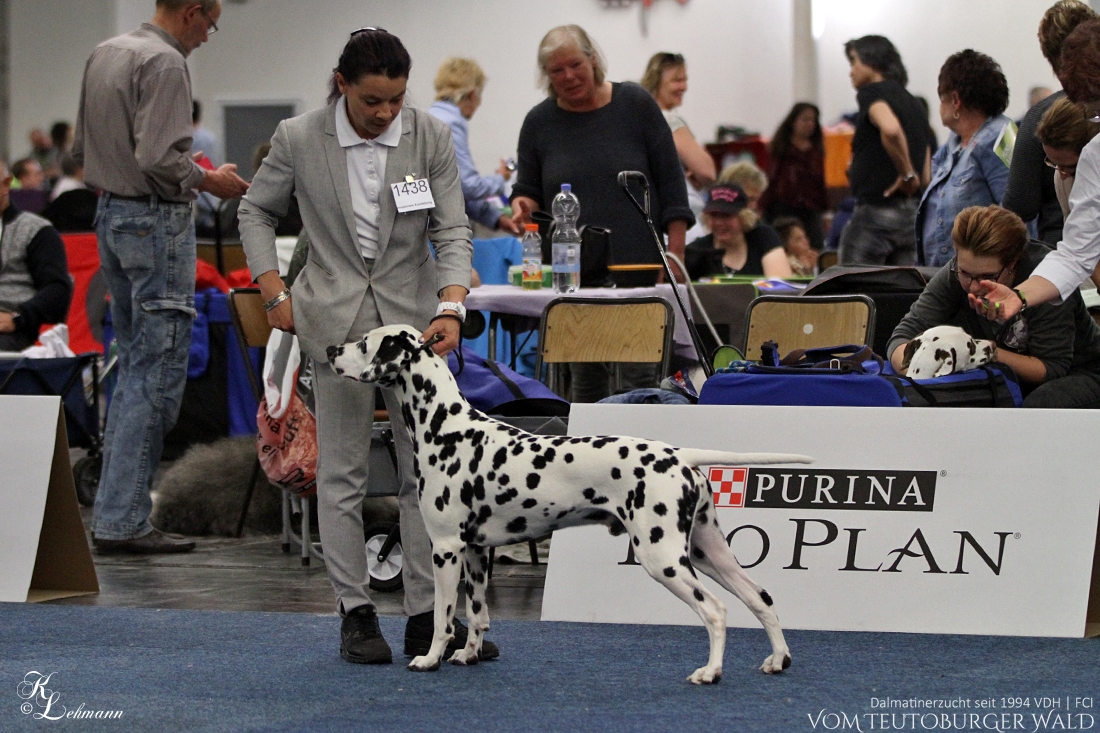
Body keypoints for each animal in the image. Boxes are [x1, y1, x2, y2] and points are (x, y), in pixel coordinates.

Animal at [321, 323, 814, 682]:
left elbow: (443, 617)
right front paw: (469, 655)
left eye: (364, 343)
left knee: (715, 610)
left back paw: (710, 672)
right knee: (760, 597)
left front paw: (431, 659)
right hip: (708, 552)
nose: (329, 349)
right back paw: (778, 660)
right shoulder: (476, 552)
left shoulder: (444, 549)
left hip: (665, 560)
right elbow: (477, 614)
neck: (447, 428)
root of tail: (680, 455)